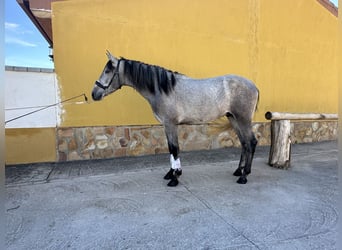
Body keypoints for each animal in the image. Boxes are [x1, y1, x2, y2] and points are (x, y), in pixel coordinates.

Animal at [91, 51, 260, 188]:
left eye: (107, 70)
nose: (94, 94)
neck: (163, 89)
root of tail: (254, 86)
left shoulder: (170, 124)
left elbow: (174, 148)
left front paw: (175, 178)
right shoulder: (167, 125)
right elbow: (171, 149)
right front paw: (171, 173)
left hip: (243, 119)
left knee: (251, 142)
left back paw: (244, 176)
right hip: (233, 119)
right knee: (244, 143)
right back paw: (238, 171)